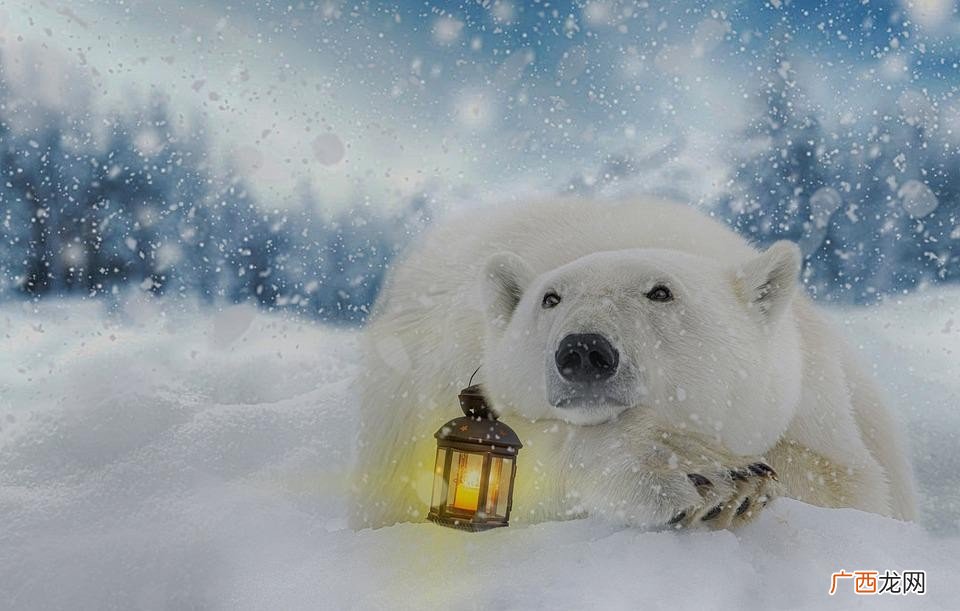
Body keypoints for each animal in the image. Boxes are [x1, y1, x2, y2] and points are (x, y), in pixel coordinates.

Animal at [350, 197, 917, 530]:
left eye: (661, 291)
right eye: (550, 298)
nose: (584, 351)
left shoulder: (814, 401)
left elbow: (845, 484)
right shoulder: (438, 376)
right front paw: (707, 473)